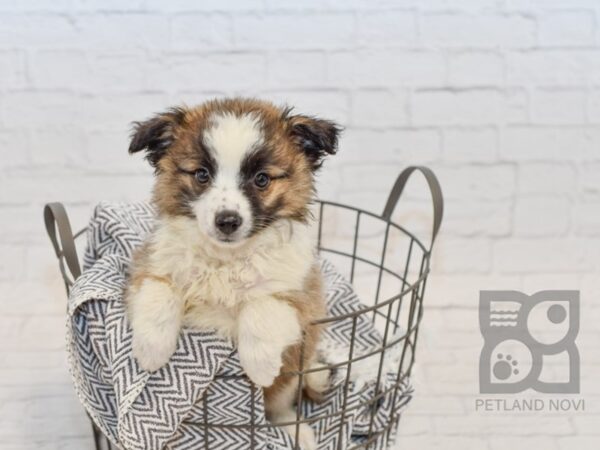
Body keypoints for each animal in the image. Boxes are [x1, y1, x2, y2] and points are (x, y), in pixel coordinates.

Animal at [124, 96, 340, 448]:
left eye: (262, 179)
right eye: (201, 174)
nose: (227, 221)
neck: (227, 259)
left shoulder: (304, 296)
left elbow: (262, 306)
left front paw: (261, 365)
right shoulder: (147, 264)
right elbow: (160, 291)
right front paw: (151, 352)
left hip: (291, 379)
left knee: (279, 407)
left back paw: (298, 430)